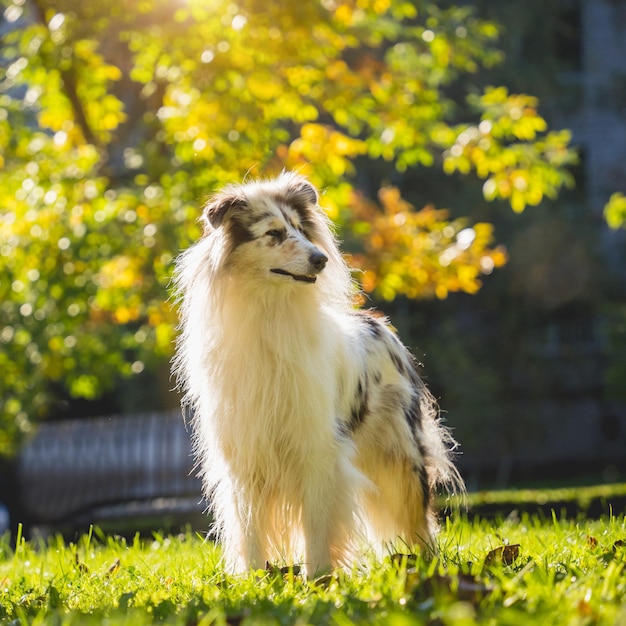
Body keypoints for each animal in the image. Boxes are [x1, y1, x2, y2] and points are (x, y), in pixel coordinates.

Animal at [173, 171, 460, 576]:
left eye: (301, 229)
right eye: (274, 233)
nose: (320, 259)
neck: (270, 316)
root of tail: (379, 324)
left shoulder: (318, 449)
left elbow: (317, 523)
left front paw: (319, 578)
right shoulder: (245, 455)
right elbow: (250, 529)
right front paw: (254, 578)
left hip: (400, 454)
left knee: (417, 517)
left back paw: (425, 563)